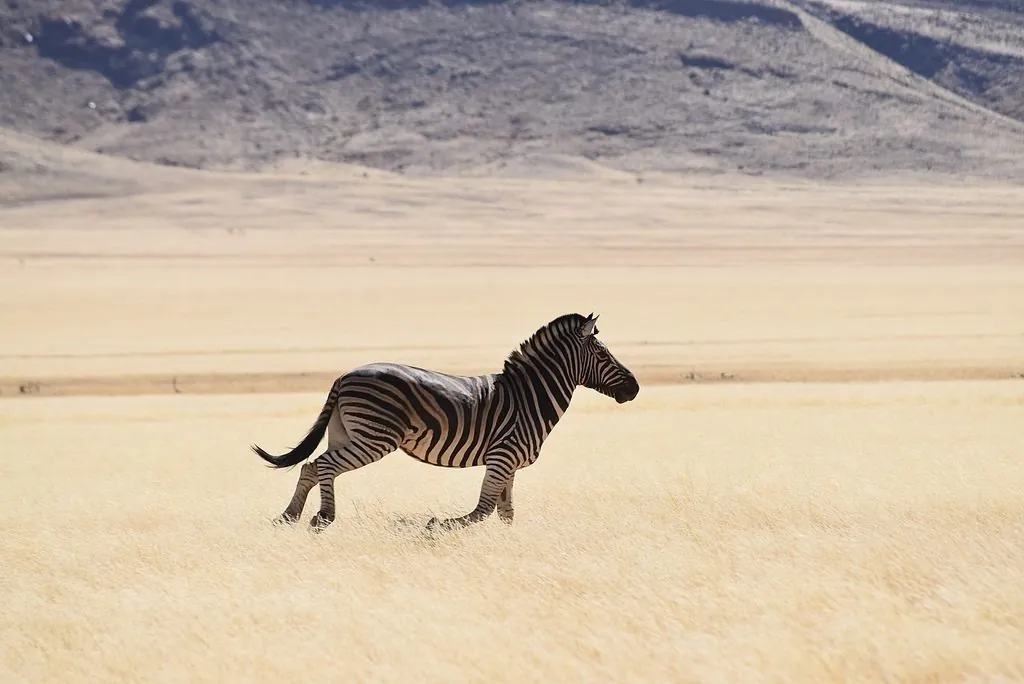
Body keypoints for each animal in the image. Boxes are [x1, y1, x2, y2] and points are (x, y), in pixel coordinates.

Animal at [252, 312, 640, 532]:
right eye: (603, 353)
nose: (634, 388)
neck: (530, 397)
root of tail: (344, 376)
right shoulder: (502, 457)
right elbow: (483, 510)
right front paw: (438, 525)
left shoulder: (510, 463)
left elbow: (506, 512)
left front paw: (508, 545)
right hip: (375, 437)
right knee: (324, 465)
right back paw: (323, 518)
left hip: (344, 432)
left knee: (312, 467)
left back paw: (289, 517)